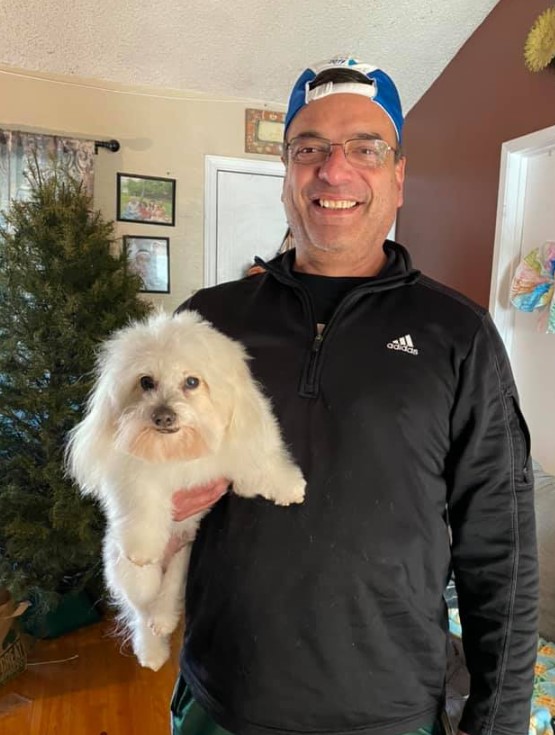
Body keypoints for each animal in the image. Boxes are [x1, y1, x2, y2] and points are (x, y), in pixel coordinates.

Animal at [68, 310, 308, 672]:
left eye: (192, 382)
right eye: (146, 382)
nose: (163, 415)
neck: (177, 451)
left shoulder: (234, 456)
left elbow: (259, 466)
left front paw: (289, 485)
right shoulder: (136, 476)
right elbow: (143, 505)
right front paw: (142, 546)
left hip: (184, 557)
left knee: (164, 601)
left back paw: (165, 620)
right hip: (130, 576)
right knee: (140, 613)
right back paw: (152, 652)